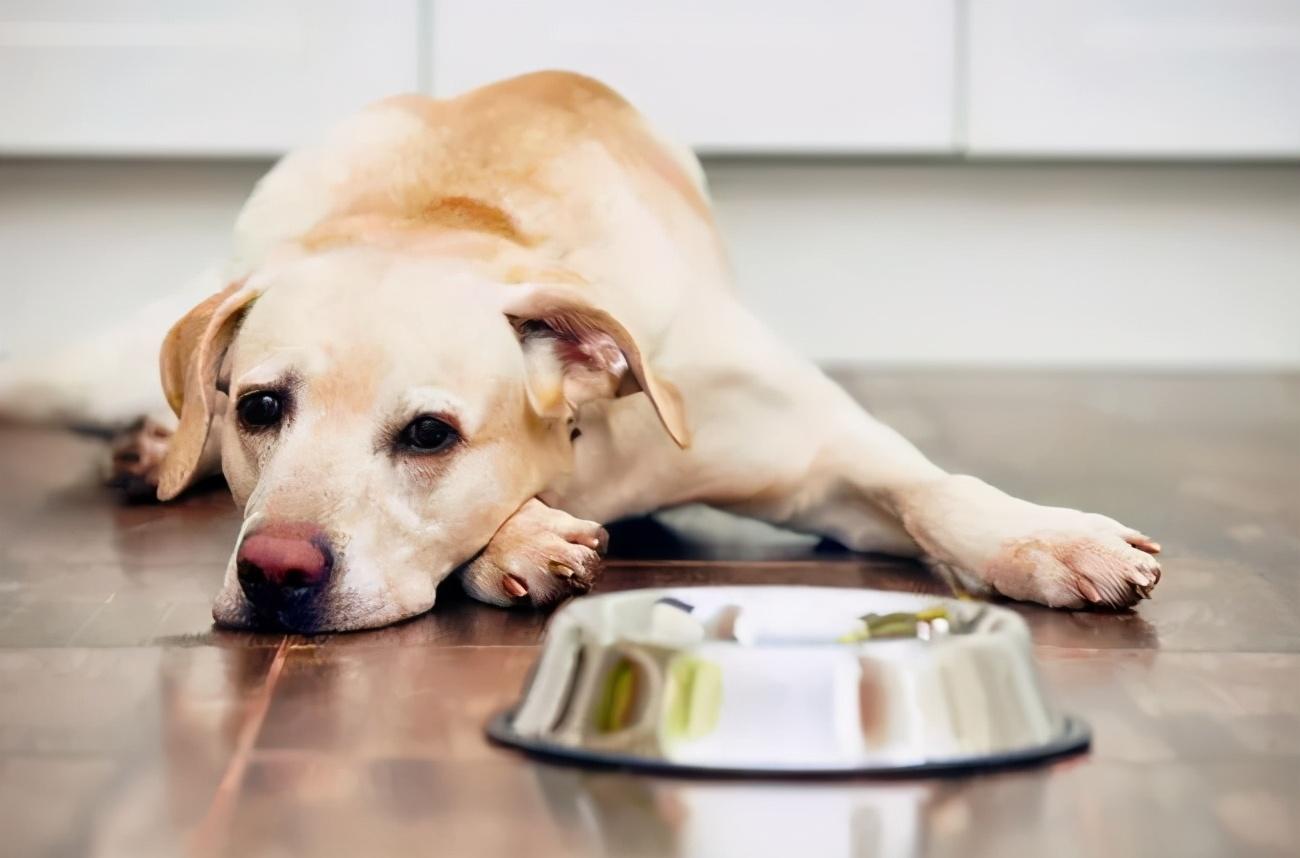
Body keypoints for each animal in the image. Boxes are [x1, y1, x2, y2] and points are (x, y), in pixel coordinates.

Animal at [0, 72, 1164, 629]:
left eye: (429, 434)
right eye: (258, 409)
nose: (275, 573)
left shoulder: (821, 457)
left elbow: (929, 487)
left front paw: (1046, 539)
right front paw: (520, 538)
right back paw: (154, 449)